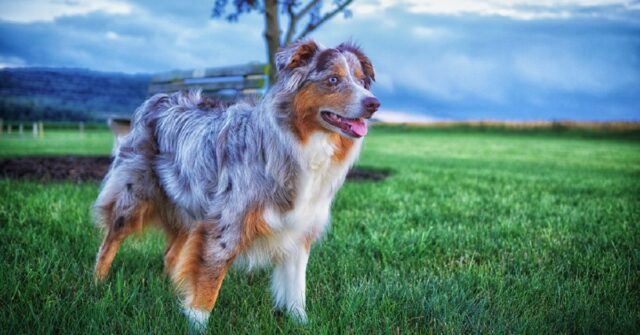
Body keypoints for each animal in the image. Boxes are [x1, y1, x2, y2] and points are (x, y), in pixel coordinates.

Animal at [92, 38, 378, 330]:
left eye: (361, 81)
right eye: (333, 79)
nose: (374, 104)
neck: (301, 143)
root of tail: (157, 98)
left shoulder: (299, 226)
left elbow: (296, 287)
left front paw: (301, 323)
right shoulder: (227, 224)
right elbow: (209, 281)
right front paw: (197, 323)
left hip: (189, 206)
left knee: (171, 255)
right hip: (135, 193)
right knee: (111, 240)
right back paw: (97, 284)